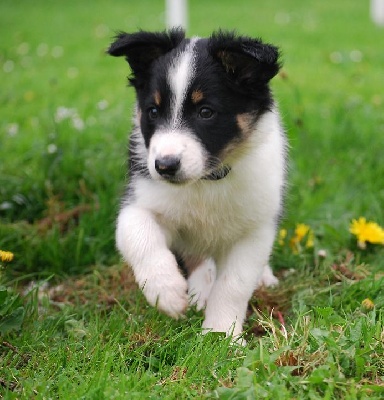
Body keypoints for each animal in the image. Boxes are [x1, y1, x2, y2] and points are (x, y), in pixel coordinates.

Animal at [107, 29, 284, 340]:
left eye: (205, 112)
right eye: (153, 111)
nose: (165, 166)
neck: (206, 180)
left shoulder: (255, 227)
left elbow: (234, 284)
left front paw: (221, 334)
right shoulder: (142, 198)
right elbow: (138, 234)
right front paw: (166, 292)